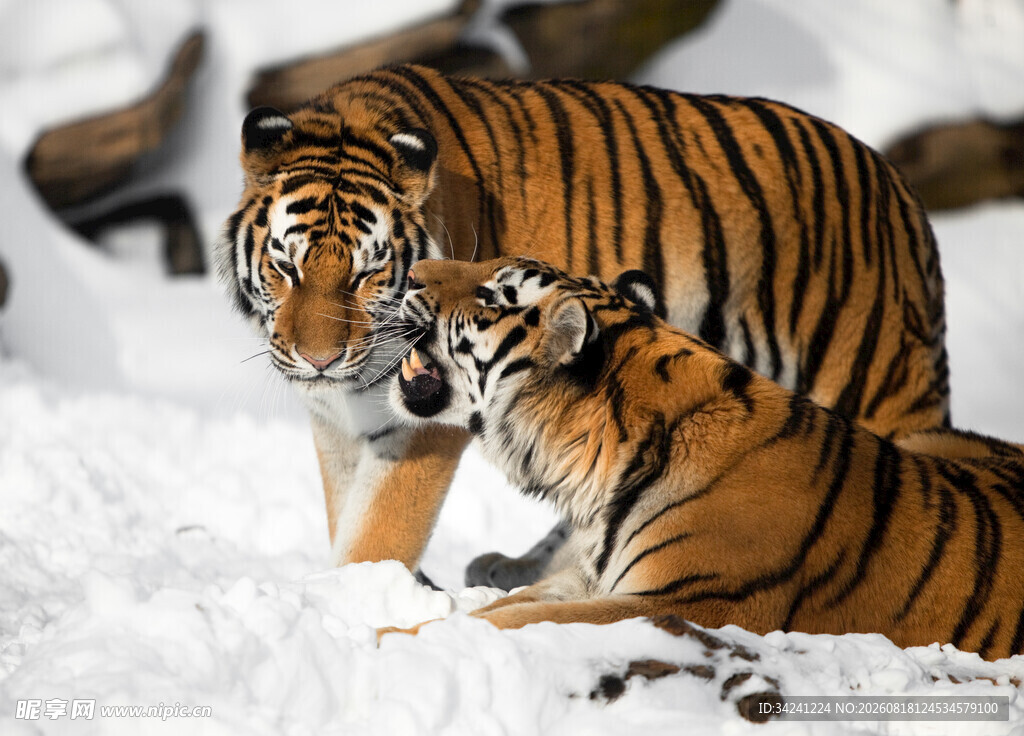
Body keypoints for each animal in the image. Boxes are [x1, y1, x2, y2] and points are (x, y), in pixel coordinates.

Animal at [216, 64, 949, 589]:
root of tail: (900, 188)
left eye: (368, 273)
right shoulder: (337, 421)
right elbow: (346, 513)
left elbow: (376, 534)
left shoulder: (422, 423)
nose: (319, 359)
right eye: (285, 266)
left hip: (869, 382)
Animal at [382, 256, 1024, 661]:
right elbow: (508, 606)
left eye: (493, 295)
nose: (410, 271)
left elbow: (517, 618)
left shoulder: (687, 600)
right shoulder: (588, 576)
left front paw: (392, 640)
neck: (595, 470)